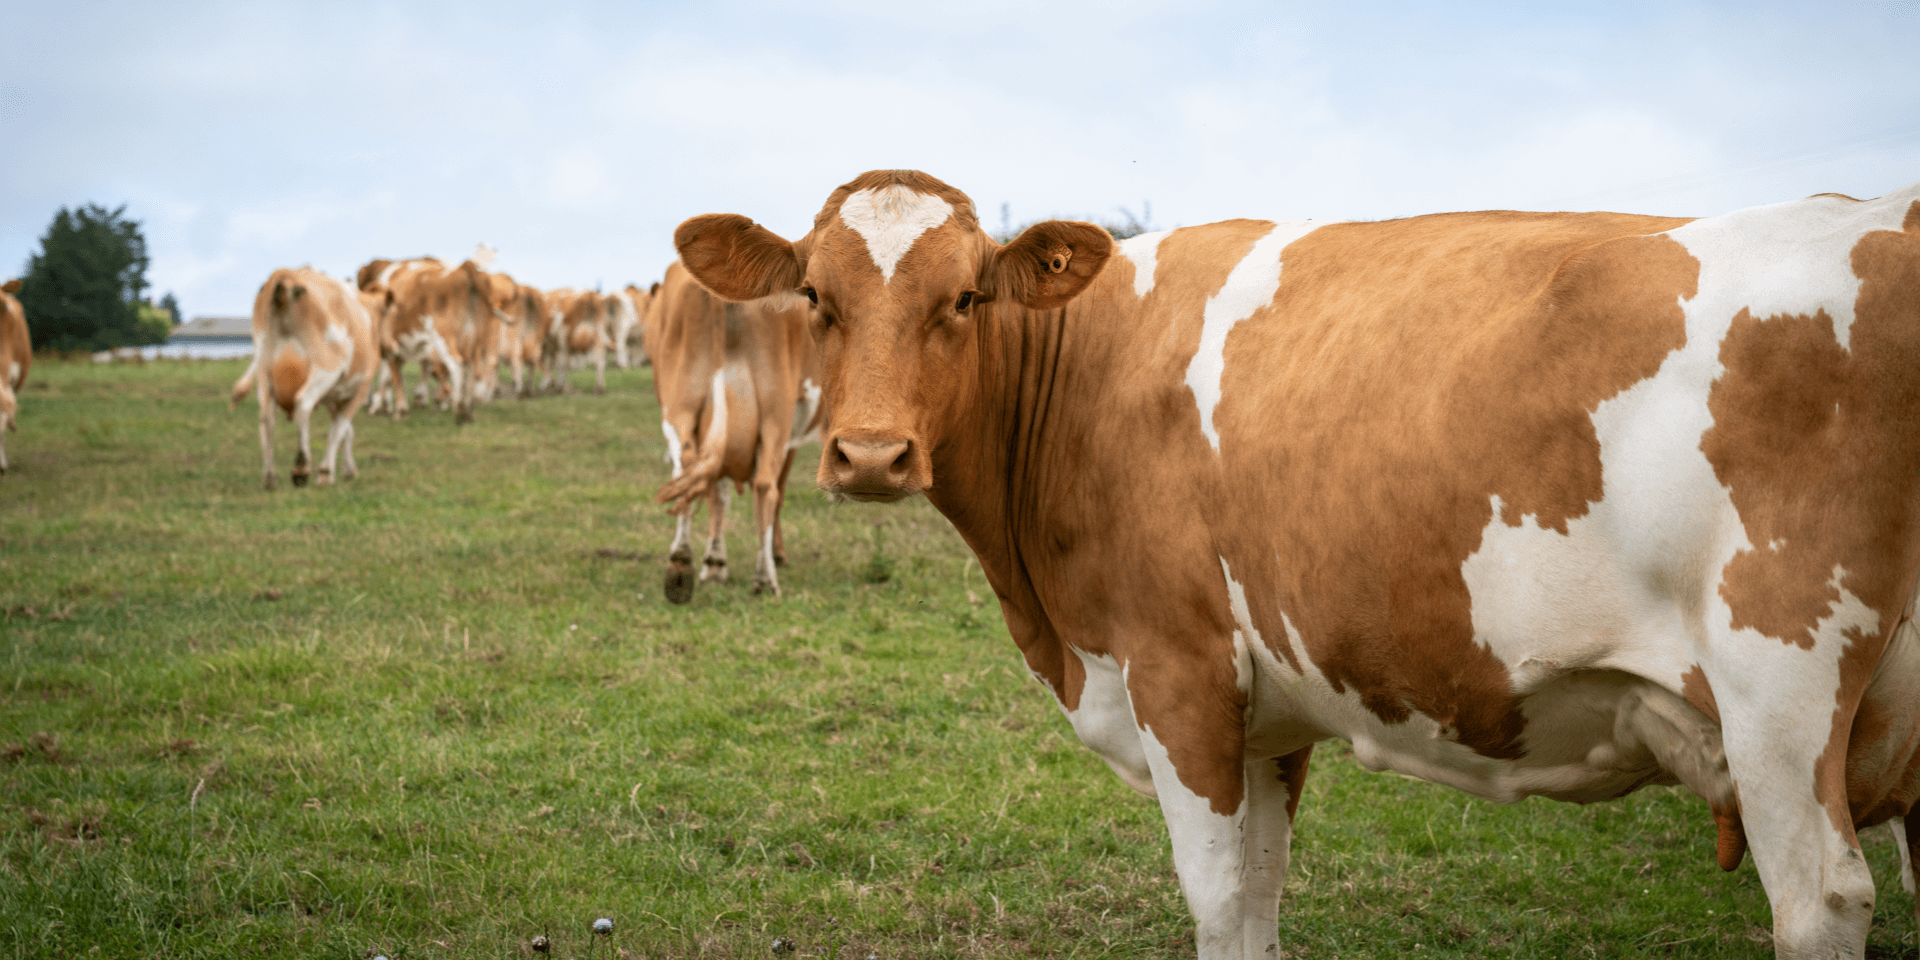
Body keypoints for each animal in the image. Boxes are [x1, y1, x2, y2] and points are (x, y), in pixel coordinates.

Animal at [230, 267, 377, 489]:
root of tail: (285, 274)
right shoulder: (360, 388)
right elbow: (339, 429)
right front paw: (326, 472)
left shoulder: (333, 396)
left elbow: (344, 431)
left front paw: (347, 469)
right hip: (326, 366)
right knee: (303, 402)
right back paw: (301, 467)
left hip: (264, 369)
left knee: (267, 416)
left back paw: (269, 476)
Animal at [647, 260, 823, 603]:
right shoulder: (789, 437)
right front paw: (775, 556)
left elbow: (717, 491)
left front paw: (715, 563)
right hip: (776, 413)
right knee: (766, 487)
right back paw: (765, 578)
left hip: (680, 407)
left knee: (685, 472)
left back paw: (680, 564)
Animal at [674, 169, 1920, 959]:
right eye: (816, 297)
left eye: (965, 297)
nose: (871, 453)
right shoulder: (1265, 717)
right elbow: (1265, 898)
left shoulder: (1177, 676)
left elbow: (1221, 905)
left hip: (1777, 690)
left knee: (1821, 903)